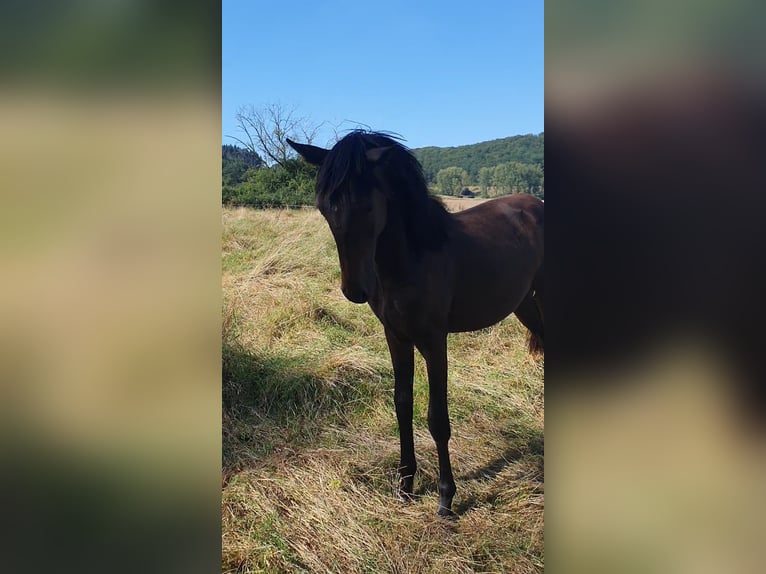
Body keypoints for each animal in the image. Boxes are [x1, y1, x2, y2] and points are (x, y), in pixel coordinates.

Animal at [288, 132, 544, 516]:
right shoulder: (396, 336)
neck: (412, 258)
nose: (355, 290)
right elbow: (402, 403)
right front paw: (405, 484)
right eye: (324, 207)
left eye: (367, 206)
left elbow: (437, 419)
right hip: (526, 304)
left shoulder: (434, 341)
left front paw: (445, 497)